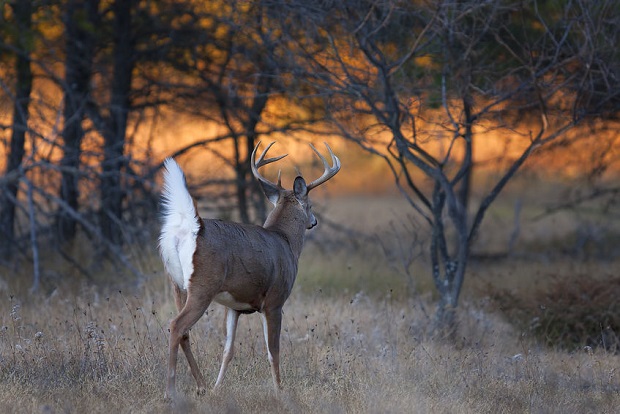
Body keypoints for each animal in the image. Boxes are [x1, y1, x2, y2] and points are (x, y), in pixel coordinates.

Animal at [157, 142, 342, 398]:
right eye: (310, 205)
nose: (314, 221)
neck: (285, 240)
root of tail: (192, 228)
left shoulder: (235, 306)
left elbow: (228, 351)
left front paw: (217, 388)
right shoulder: (275, 301)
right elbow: (273, 351)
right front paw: (279, 391)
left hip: (177, 284)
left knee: (184, 332)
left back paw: (202, 386)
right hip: (203, 286)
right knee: (176, 325)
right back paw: (170, 392)